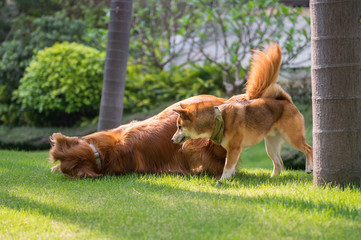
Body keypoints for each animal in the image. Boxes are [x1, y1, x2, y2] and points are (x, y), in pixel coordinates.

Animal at [172, 44, 312, 181]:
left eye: (179, 127)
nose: (172, 140)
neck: (219, 119)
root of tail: (286, 101)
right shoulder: (231, 150)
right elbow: (230, 168)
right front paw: (230, 178)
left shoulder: (234, 149)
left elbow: (227, 168)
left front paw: (222, 181)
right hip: (271, 145)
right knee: (279, 163)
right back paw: (273, 179)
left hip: (293, 138)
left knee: (309, 149)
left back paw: (309, 168)